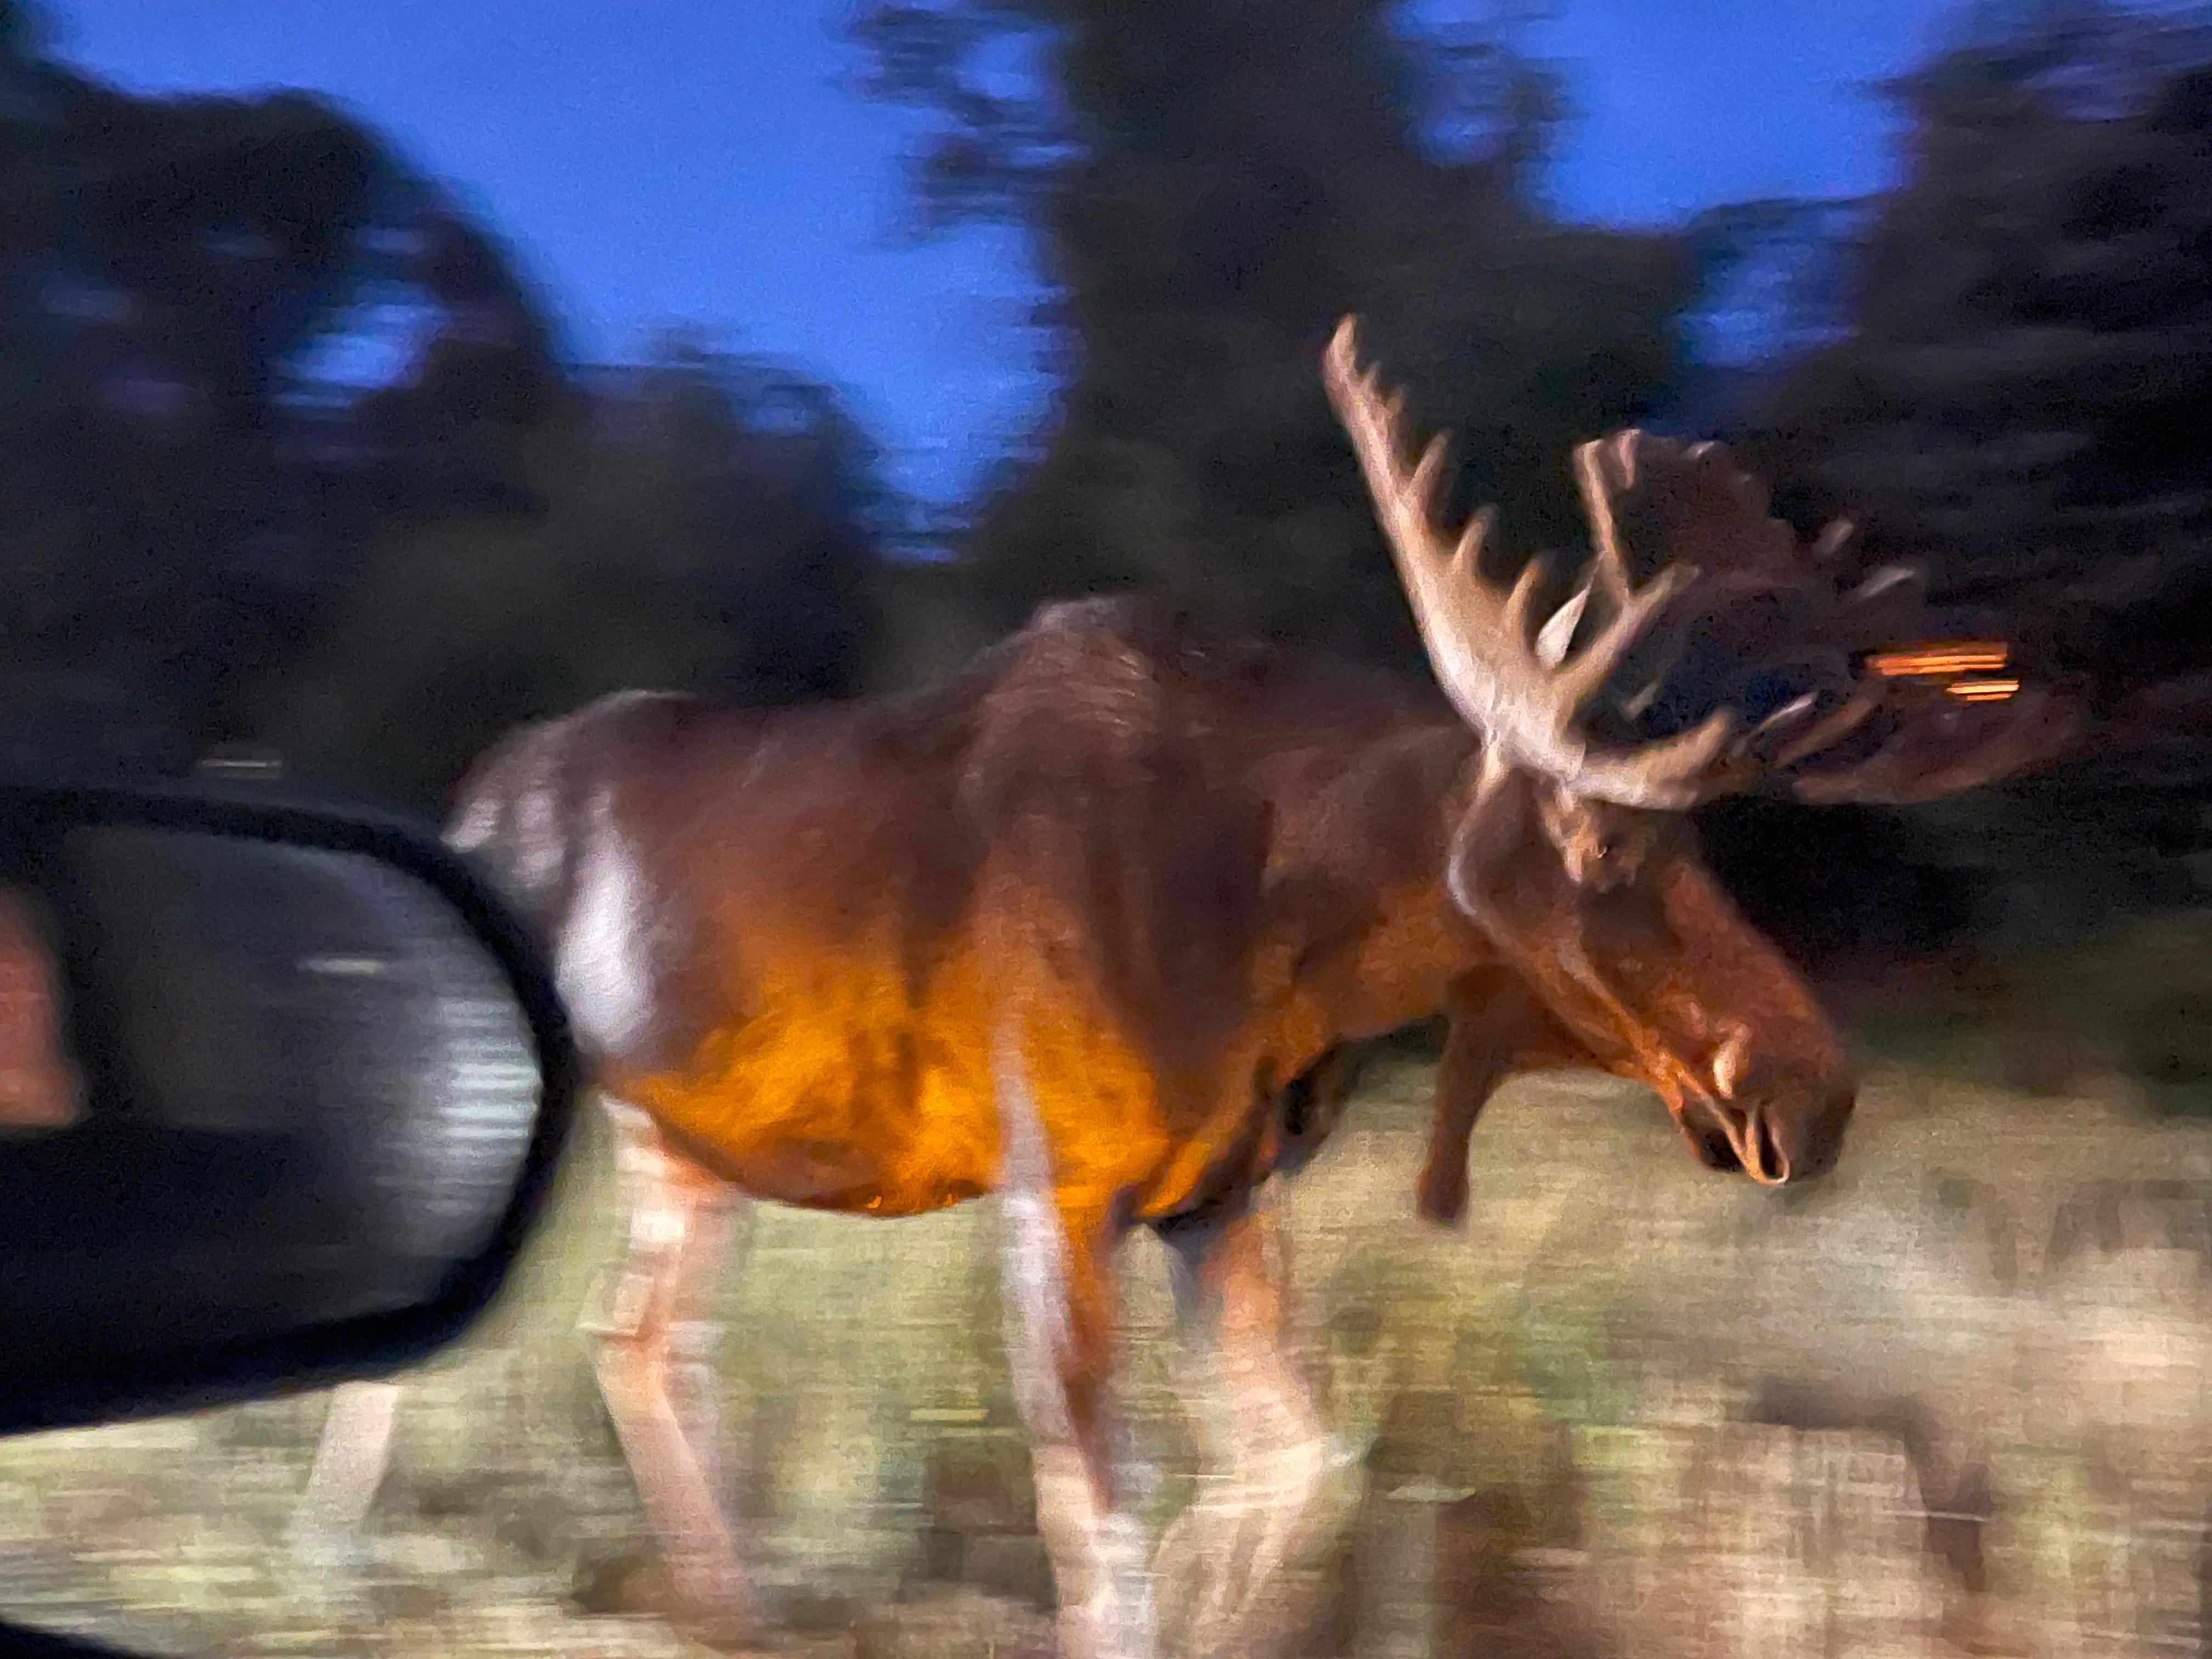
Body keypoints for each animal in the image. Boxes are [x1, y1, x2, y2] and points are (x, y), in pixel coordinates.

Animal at [287, 316, 2092, 1659]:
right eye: (1597, 835)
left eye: (1708, 843)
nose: (1808, 1088)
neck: (1287, 942)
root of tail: (472, 797)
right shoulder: (1055, 1182)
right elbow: (1107, 1517)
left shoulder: (1221, 1201)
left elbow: (1304, 1464)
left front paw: (1235, 1585)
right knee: (422, 1329)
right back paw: (329, 1568)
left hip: (686, 1143)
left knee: (641, 1338)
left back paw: (734, 1609)